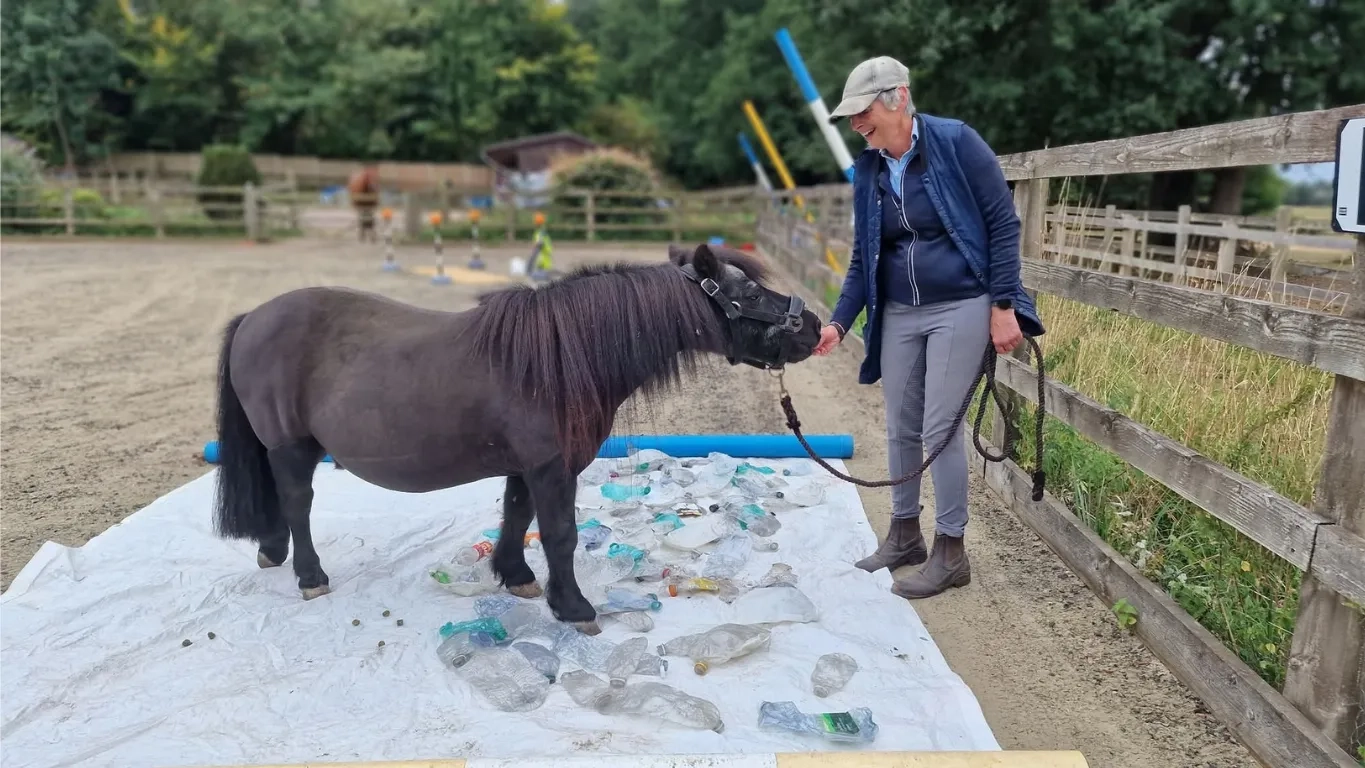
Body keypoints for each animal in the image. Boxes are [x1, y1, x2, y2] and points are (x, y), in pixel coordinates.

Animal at [211, 243, 822, 632]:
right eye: (748, 293)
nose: (813, 327)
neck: (561, 356)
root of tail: (252, 318)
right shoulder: (553, 467)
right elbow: (559, 535)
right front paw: (573, 607)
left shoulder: (528, 466)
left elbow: (516, 515)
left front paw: (516, 576)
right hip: (290, 445)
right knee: (297, 501)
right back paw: (310, 575)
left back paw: (273, 551)